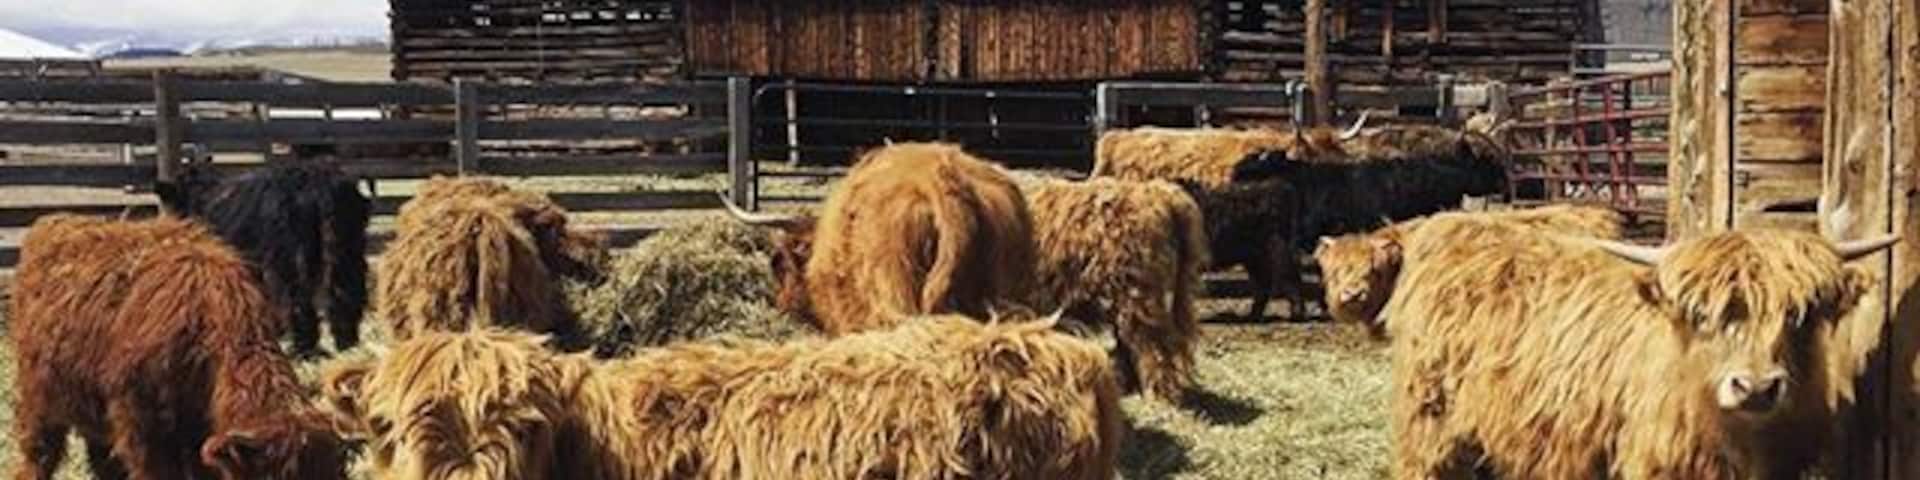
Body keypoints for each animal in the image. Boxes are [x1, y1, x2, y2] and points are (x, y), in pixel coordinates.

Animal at [156, 162, 371, 356]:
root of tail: (320, 184)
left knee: (298, 300)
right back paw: (347, 343)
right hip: (348, 250)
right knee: (347, 292)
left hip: (291, 259)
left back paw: (303, 348)